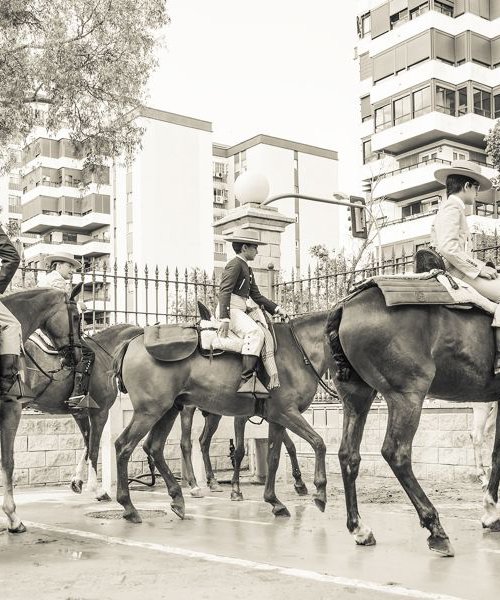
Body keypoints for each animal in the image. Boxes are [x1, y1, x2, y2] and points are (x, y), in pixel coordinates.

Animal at [23, 324, 143, 502]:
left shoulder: (80, 414)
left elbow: (87, 444)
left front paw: (77, 481)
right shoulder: (100, 413)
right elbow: (93, 447)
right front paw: (96, 489)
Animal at [158, 406, 308, 500]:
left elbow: (291, 446)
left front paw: (300, 483)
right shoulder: (240, 418)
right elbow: (239, 451)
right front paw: (236, 490)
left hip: (214, 415)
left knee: (204, 441)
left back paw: (212, 482)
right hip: (188, 410)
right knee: (186, 444)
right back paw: (194, 486)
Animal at [326, 288, 500, 556]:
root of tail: (346, 306)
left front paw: (491, 512)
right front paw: (491, 511)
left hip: (357, 396)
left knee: (348, 455)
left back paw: (359, 528)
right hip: (407, 395)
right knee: (396, 453)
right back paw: (435, 529)